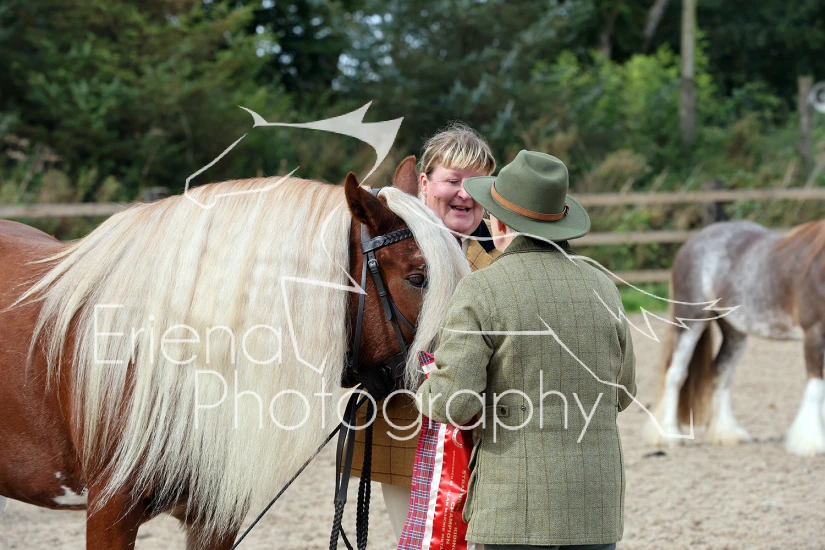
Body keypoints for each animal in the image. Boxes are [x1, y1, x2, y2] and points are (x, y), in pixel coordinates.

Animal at [645, 219, 825, 456]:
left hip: (734, 332)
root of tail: (692, 242)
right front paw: (812, 443)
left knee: (721, 372)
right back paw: (670, 435)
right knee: (675, 375)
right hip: (691, 322)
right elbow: (816, 388)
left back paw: (726, 433)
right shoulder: (814, 332)